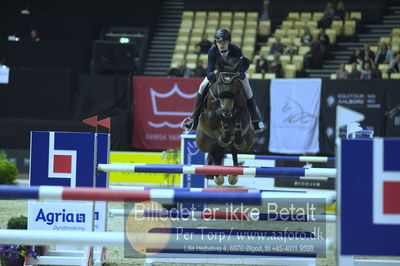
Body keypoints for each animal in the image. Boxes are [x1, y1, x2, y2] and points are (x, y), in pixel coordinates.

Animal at [195, 56, 255, 185]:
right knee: (214, 150)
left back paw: (233, 176)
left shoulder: (244, 116)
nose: (227, 109)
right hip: (203, 142)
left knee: (234, 149)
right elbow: (218, 118)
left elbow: (238, 116)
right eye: (219, 82)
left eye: (236, 83)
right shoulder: (210, 117)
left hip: (248, 140)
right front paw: (224, 133)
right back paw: (218, 176)